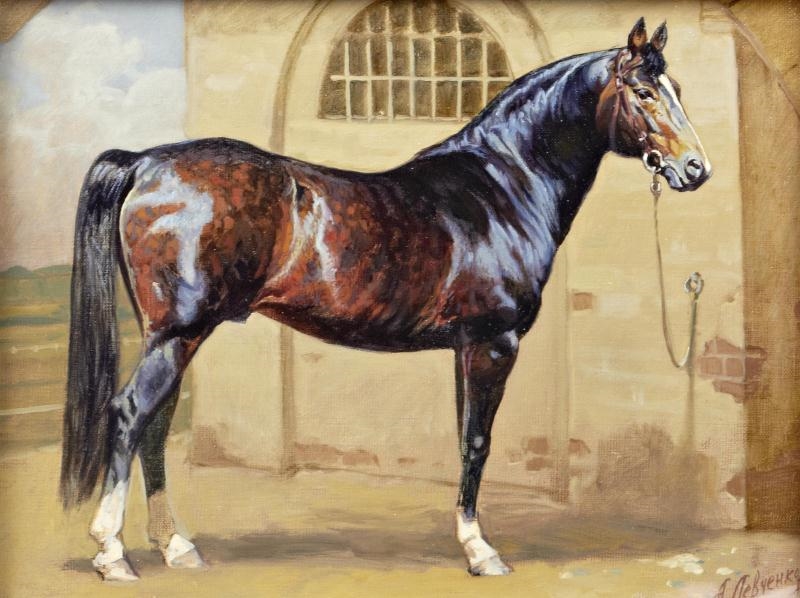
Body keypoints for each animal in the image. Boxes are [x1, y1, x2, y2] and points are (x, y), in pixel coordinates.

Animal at [60, 18, 710, 580]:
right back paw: (112, 554)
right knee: (129, 415)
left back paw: (177, 547)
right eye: (643, 91)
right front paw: (481, 552)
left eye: (677, 89)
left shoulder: (465, 346)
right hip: (177, 333)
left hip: (176, 335)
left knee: (156, 423)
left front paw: (469, 539)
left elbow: (465, 438)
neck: (502, 188)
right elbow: (478, 440)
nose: (695, 170)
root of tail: (145, 163)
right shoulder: (492, 343)